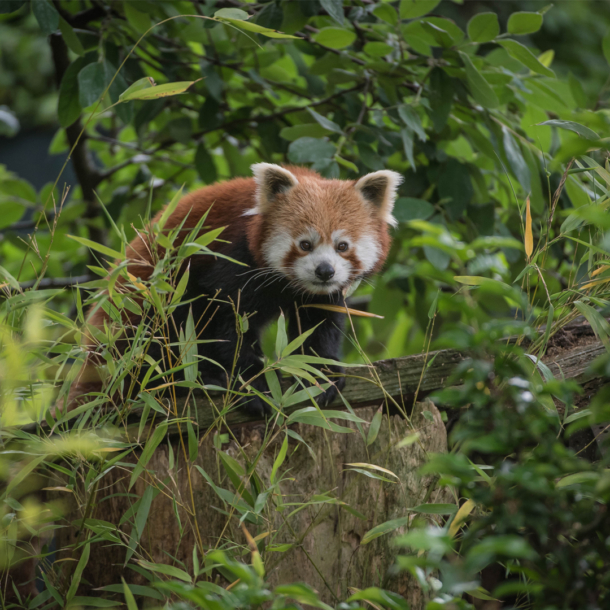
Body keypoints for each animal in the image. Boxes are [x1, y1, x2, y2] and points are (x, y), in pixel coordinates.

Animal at [70, 164, 400, 416]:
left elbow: (318, 323)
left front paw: (319, 374)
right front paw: (253, 384)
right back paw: (201, 375)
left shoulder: (318, 295)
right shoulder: (232, 257)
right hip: (144, 304)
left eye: (342, 246)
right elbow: (228, 324)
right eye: (305, 244)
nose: (324, 271)